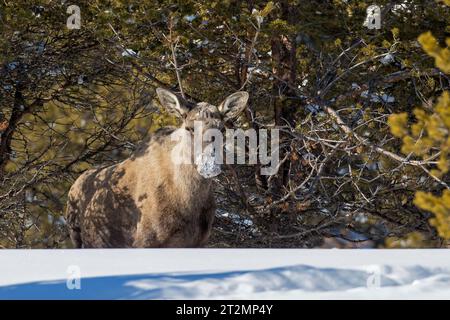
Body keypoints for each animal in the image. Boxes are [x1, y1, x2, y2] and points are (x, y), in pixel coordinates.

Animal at [64, 87, 248, 248]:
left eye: (222, 129)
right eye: (189, 128)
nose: (209, 166)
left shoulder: (199, 242)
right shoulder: (145, 241)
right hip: (77, 237)